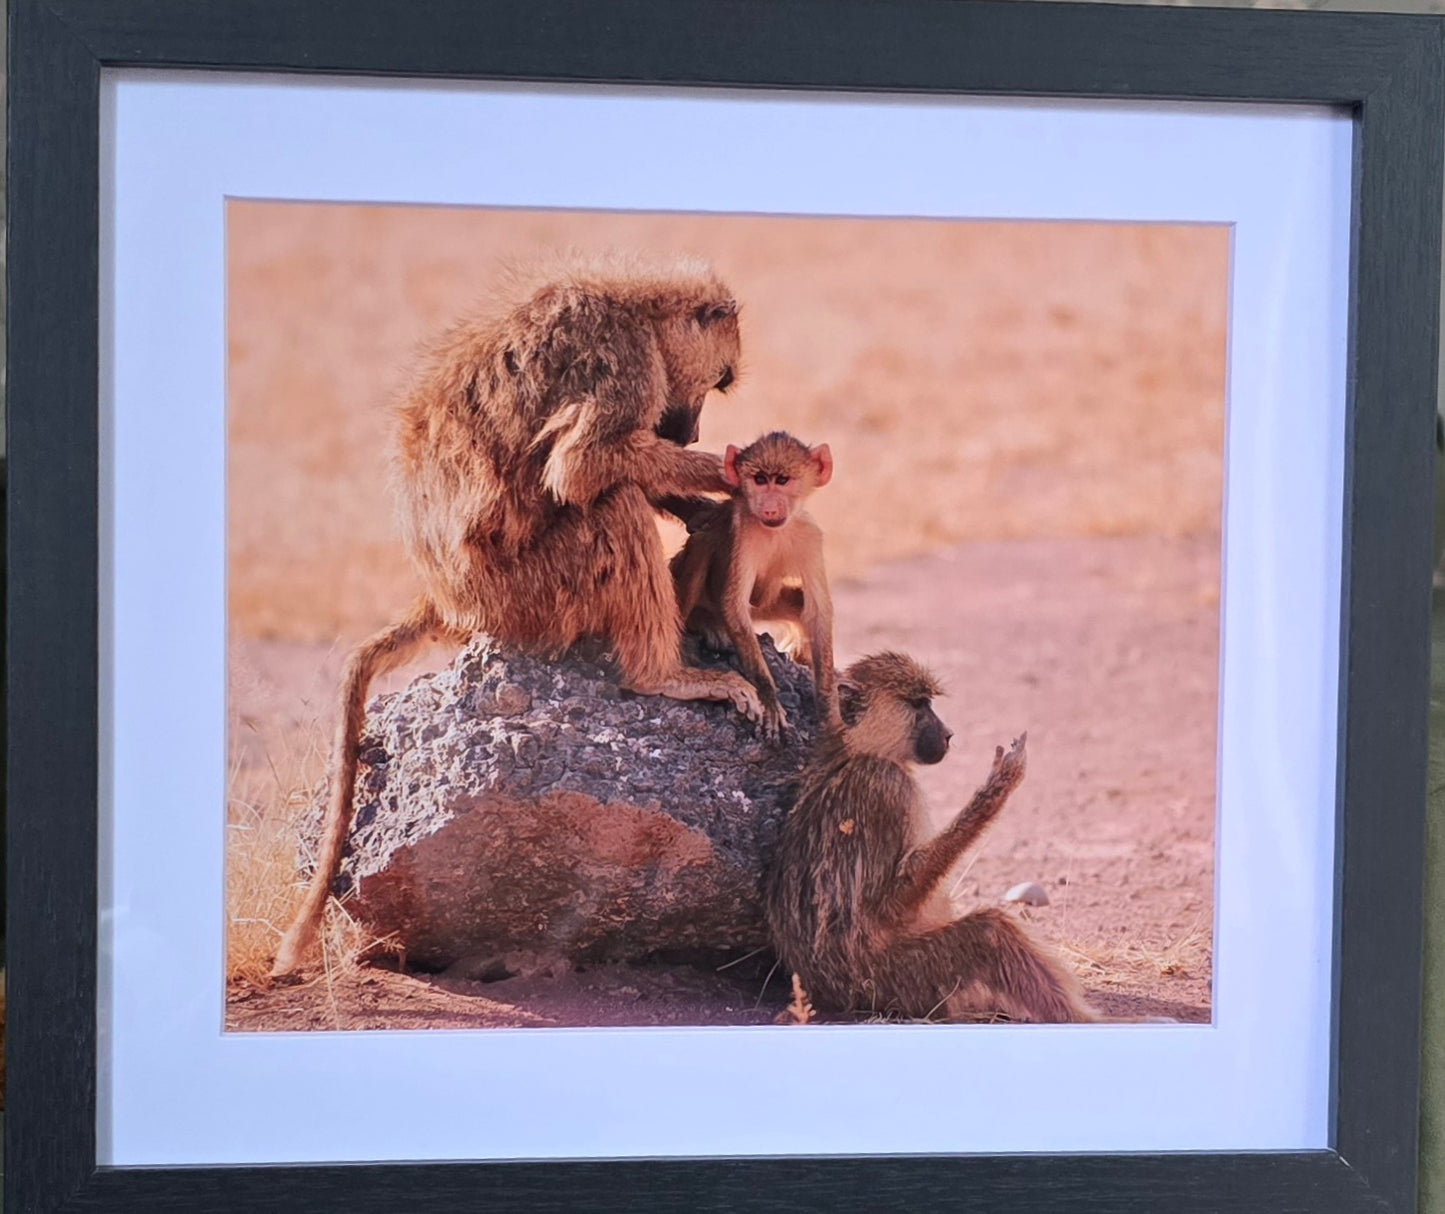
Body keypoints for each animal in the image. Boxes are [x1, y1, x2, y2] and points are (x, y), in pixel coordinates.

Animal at [270, 252, 766, 978]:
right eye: (720, 379)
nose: (692, 433)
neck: (638, 312)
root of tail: (446, 598)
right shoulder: (620, 364)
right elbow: (584, 467)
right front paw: (730, 472)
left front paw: (703, 506)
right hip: (536, 595)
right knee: (611, 501)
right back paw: (663, 677)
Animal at [668, 432, 838, 743]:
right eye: (760, 480)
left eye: (782, 480)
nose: (769, 507)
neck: (776, 530)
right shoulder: (744, 535)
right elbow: (734, 606)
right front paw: (769, 696)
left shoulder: (810, 536)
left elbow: (818, 612)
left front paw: (827, 706)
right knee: (703, 541)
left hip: (766, 608)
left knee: (795, 602)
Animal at [763, 652, 1097, 1024]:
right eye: (919, 704)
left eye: (929, 703)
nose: (949, 734)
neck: (857, 751)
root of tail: (828, 994)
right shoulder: (885, 786)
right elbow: (887, 905)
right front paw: (995, 790)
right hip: (893, 982)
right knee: (991, 932)